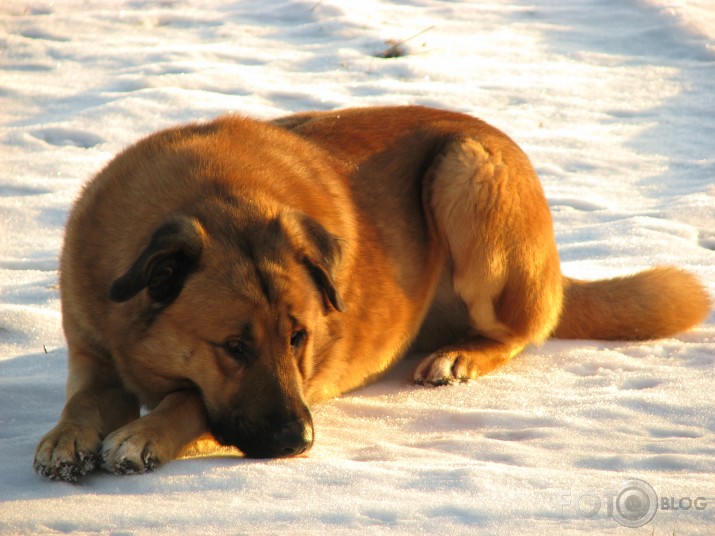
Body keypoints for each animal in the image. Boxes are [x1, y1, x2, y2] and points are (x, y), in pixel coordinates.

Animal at [35, 105, 712, 482]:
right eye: (232, 346)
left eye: (299, 337)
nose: (299, 443)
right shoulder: (93, 355)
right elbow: (82, 402)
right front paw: (66, 438)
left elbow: (191, 402)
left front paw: (146, 433)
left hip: (465, 171)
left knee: (524, 331)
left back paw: (459, 357)